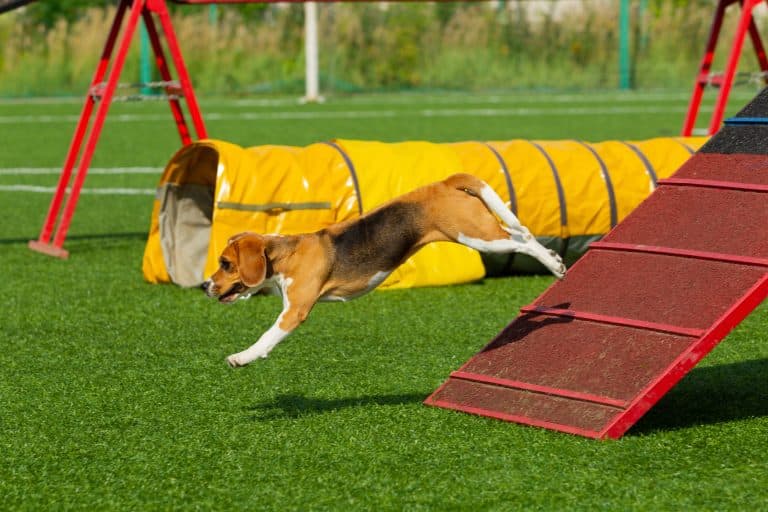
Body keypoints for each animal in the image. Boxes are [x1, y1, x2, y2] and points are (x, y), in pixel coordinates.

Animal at [202, 174, 564, 366]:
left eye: (226, 264)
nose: (205, 286)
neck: (285, 255)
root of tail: (446, 182)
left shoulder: (295, 311)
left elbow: (267, 336)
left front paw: (243, 356)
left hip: (479, 236)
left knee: (523, 240)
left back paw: (554, 265)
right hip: (481, 234)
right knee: (524, 235)